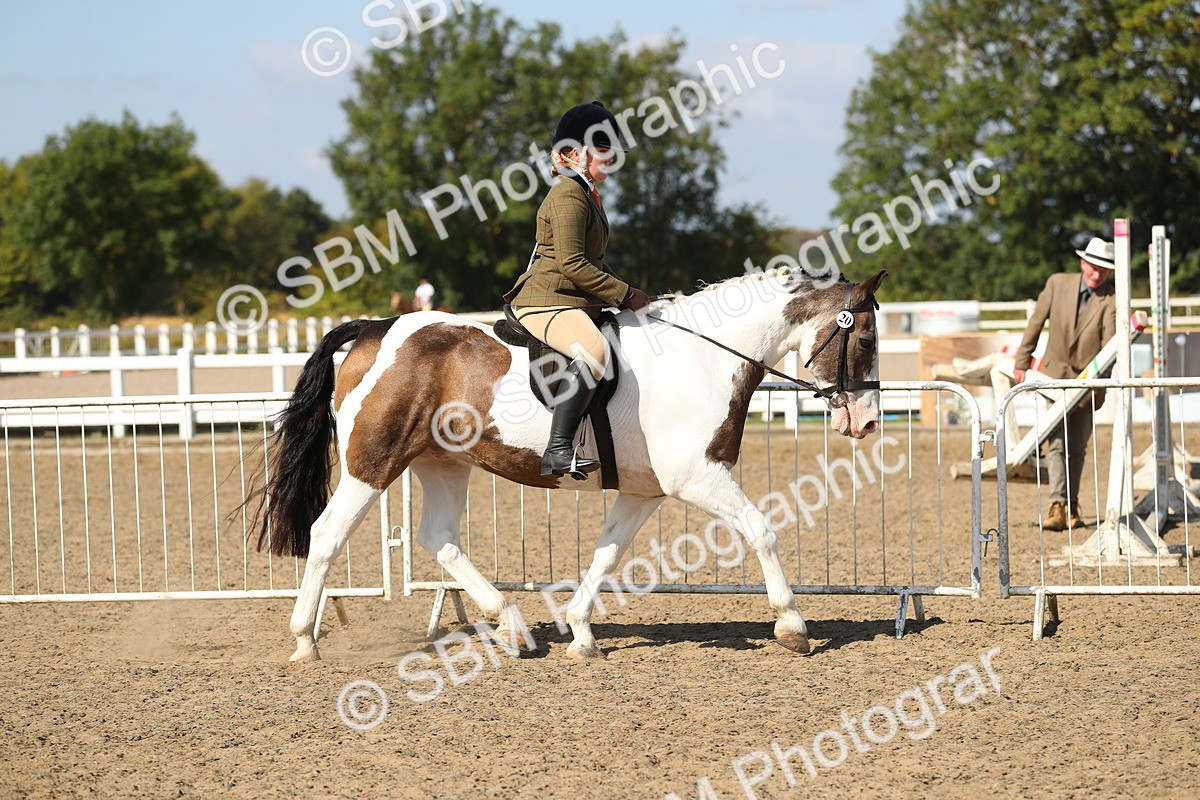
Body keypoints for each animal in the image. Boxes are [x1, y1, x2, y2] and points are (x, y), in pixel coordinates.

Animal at [248, 266, 887, 661]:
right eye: (865, 339)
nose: (867, 421)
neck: (701, 357)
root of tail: (375, 329)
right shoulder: (699, 477)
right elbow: (762, 530)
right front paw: (793, 626)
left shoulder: (644, 491)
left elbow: (607, 554)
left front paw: (580, 632)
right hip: (372, 462)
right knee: (327, 534)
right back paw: (304, 641)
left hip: (442, 463)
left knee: (439, 537)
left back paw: (511, 625)